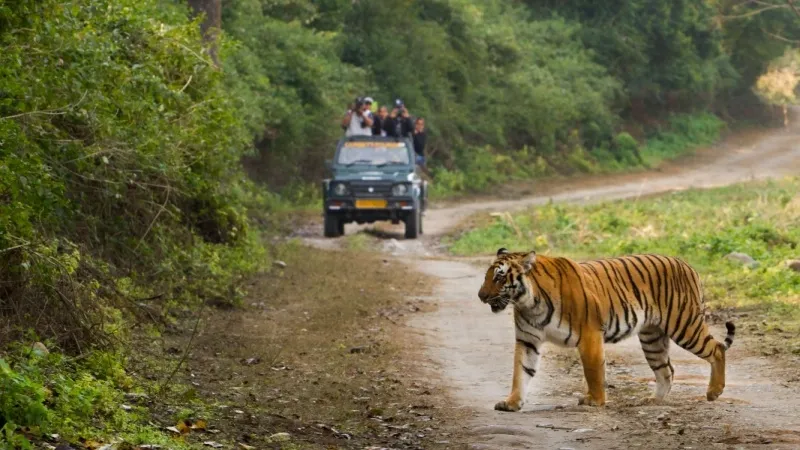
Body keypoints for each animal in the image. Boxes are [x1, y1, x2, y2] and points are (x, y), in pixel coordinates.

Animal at [478, 248, 736, 414]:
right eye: (487, 276)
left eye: (499, 277)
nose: (481, 296)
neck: (528, 302)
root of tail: (687, 264)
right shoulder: (527, 340)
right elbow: (520, 372)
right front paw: (512, 403)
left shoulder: (589, 334)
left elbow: (593, 371)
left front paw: (595, 400)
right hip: (652, 338)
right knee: (667, 370)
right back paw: (653, 401)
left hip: (684, 325)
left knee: (717, 349)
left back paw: (714, 392)